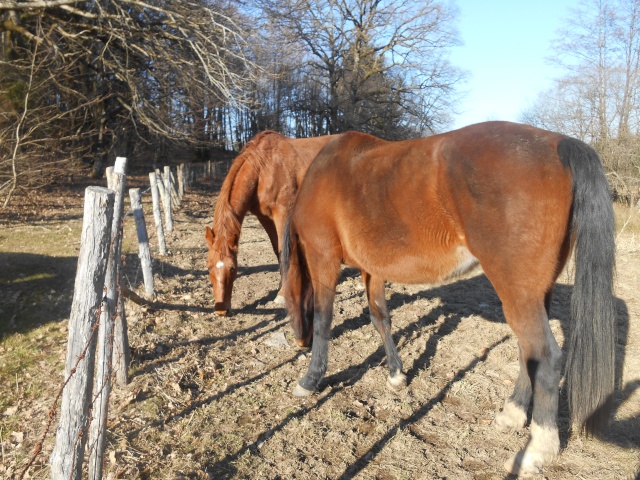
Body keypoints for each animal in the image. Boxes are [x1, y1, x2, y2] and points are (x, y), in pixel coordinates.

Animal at [206, 130, 338, 316]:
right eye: (209, 267)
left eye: (232, 268)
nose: (221, 310)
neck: (264, 168)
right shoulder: (265, 217)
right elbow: (277, 250)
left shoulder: (283, 213)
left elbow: (284, 250)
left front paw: (283, 294)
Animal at [282, 123, 616, 476]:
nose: (299, 342)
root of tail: (560, 143)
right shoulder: (371, 269)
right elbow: (380, 317)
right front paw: (396, 374)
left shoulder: (323, 258)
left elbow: (323, 319)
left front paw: (311, 378)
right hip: (536, 292)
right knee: (529, 353)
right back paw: (511, 415)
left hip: (517, 291)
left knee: (545, 356)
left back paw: (537, 451)